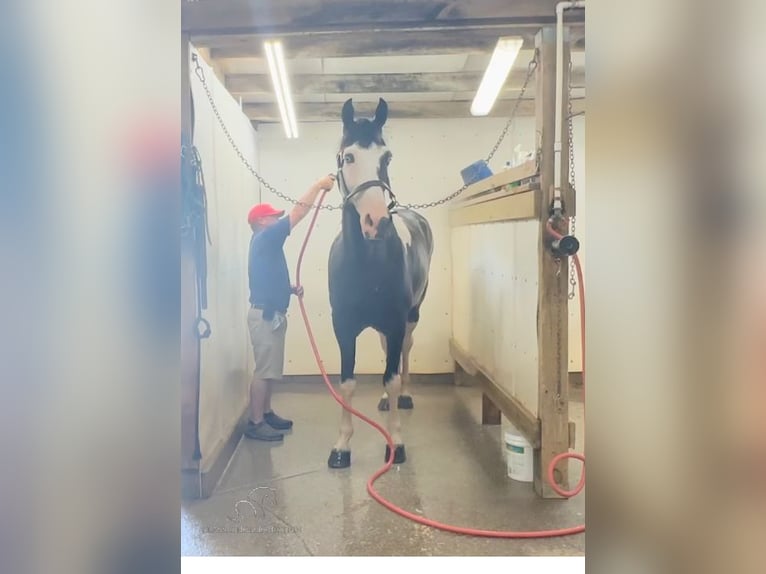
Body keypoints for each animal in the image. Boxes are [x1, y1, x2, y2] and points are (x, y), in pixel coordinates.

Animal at [328, 98, 436, 468]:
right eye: (347, 157)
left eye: (386, 157)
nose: (376, 221)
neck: (367, 262)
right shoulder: (343, 325)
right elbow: (346, 383)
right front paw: (342, 446)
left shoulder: (396, 321)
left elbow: (391, 376)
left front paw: (396, 443)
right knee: (387, 349)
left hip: (412, 316)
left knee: (403, 351)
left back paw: (403, 396)